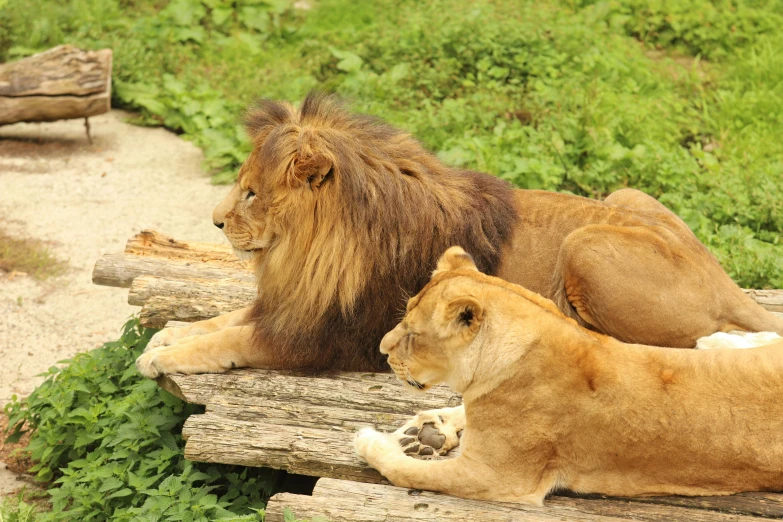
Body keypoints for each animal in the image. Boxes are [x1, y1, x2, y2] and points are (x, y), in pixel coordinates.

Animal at [135, 92, 783, 378]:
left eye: (249, 193)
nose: (215, 221)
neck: (308, 251)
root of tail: (722, 280)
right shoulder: (297, 305)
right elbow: (223, 319)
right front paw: (167, 337)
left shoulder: (333, 338)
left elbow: (234, 338)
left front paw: (164, 356)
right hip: (626, 198)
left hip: (585, 246)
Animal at [358, 248, 783, 504]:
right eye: (404, 317)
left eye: (413, 336)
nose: (381, 349)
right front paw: (428, 430)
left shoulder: (496, 477)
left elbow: (406, 471)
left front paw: (370, 441)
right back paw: (717, 341)